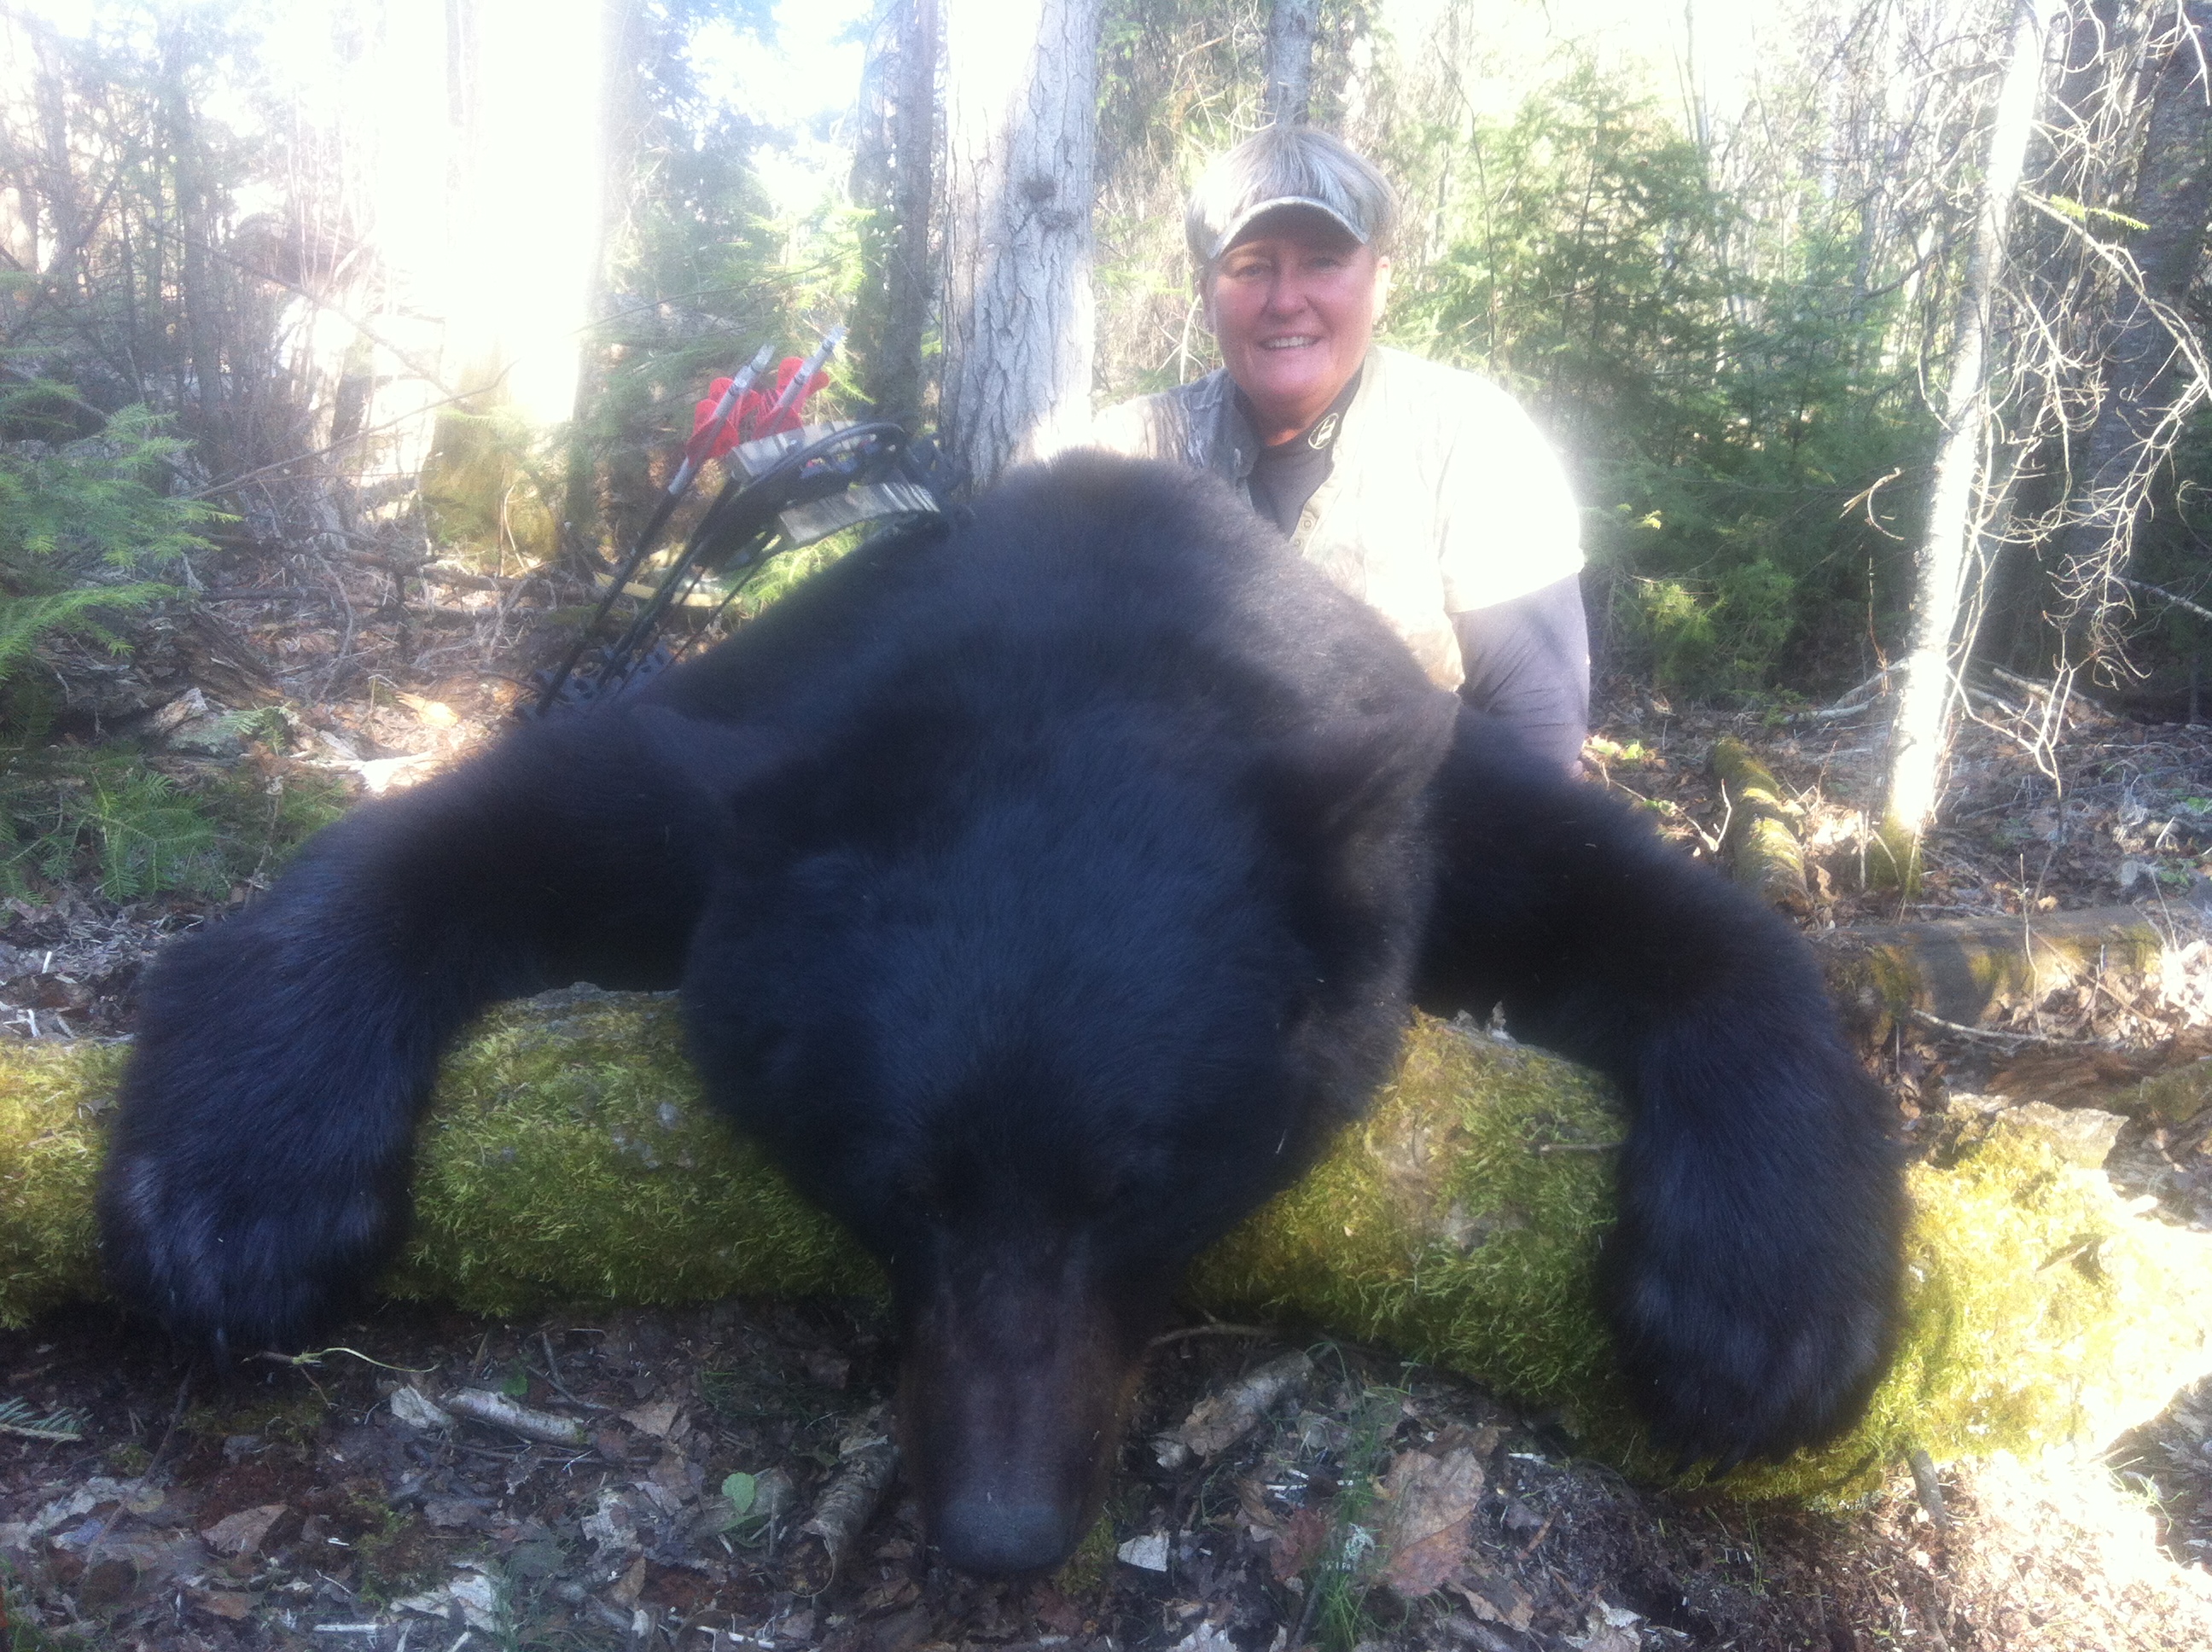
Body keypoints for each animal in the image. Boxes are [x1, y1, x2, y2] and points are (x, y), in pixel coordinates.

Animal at [98, 453, 1904, 1576]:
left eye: (1139, 1183)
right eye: (898, 1179)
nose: (1000, 1532)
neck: (1094, 645)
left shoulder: (1408, 799)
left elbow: (1668, 908)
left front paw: (1764, 1311)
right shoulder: (761, 756)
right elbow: (497, 812)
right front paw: (235, 1186)